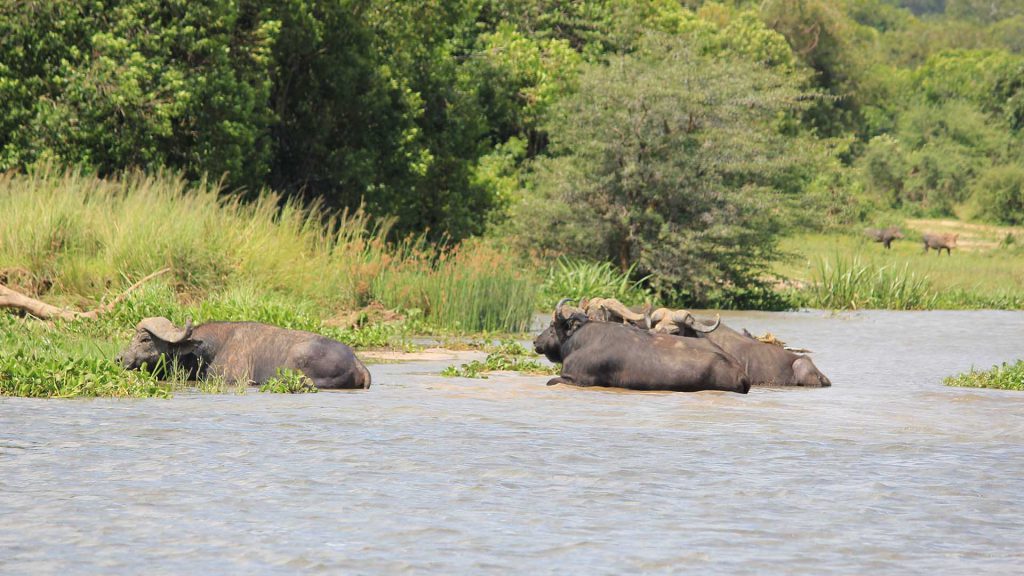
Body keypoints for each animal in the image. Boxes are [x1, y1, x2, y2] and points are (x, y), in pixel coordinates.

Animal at [536, 297, 753, 391]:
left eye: (552, 325)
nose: (536, 341)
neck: (579, 340)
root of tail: (740, 372)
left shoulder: (576, 379)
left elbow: (550, 381)